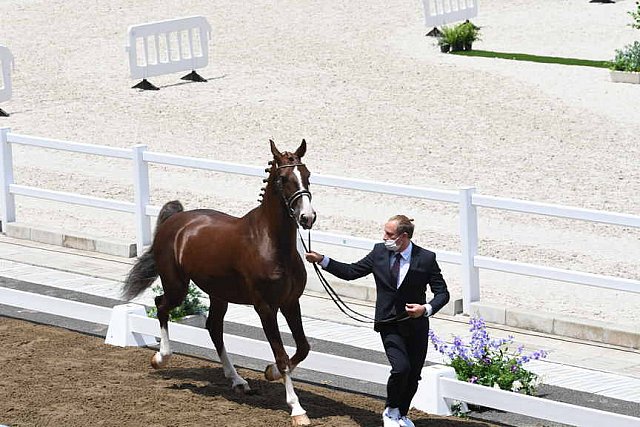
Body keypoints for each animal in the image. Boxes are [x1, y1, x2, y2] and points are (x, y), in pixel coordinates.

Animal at [122, 140, 316, 424]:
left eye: (307, 175)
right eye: (283, 179)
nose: (307, 218)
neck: (271, 243)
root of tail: (175, 221)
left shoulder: (291, 302)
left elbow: (302, 348)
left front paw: (269, 373)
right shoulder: (265, 308)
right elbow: (281, 355)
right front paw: (297, 409)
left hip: (218, 293)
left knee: (214, 327)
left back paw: (238, 381)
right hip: (177, 286)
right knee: (161, 305)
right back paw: (160, 358)